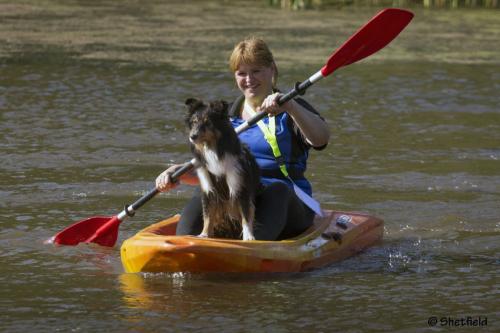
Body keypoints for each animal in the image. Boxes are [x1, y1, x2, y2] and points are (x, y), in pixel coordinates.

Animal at [185, 97, 260, 240]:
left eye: (208, 123)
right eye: (194, 122)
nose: (192, 136)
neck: (213, 149)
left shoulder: (240, 186)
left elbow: (246, 215)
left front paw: (248, 236)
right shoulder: (208, 189)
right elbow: (208, 215)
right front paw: (204, 234)